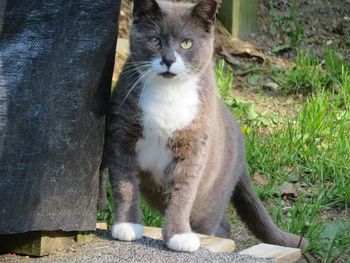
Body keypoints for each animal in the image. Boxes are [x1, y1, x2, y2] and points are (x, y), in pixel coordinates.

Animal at [104, 0, 308, 253]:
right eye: (155, 40)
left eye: (186, 42)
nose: (168, 60)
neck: (168, 93)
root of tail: (242, 152)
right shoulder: (121, 136)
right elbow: (125, 185)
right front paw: (127, 226)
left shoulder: (194, 146)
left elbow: (183, 193)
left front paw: (179, 236)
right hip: (157, 190)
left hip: (210, 194)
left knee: (215, 221)